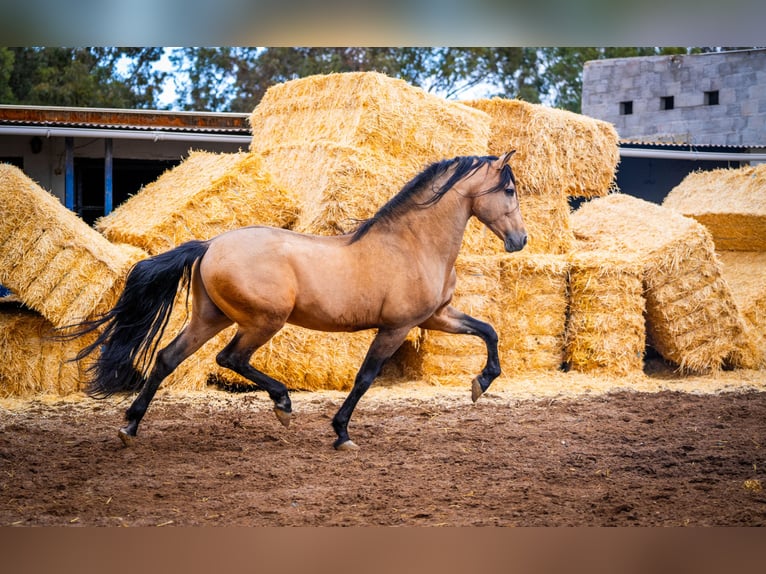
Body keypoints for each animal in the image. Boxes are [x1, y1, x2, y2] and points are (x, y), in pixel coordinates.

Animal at [64, 151, 528, 452]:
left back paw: (130, 426)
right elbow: (365, 377)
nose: (520, 241)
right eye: (508, 189)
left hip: (209, 318)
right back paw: (283, 403)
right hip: (263, 320)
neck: (413, 244)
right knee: (230, 359)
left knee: (166, 358)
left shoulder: (435, 317)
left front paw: (482, 383)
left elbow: (489, 331)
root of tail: (210, 244)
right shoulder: (396, 327)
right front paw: (342, 433)